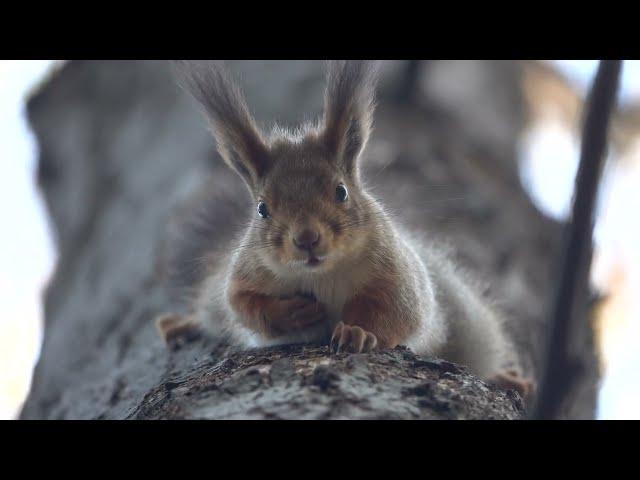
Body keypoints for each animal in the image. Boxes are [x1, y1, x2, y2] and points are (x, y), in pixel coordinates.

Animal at [159, 59, 536, 398]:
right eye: (262, 209)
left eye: (340, 191)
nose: (307, 238)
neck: (322, 274)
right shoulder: (248, 272)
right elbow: (243, 304)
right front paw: (291, 313)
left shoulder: (395, 272)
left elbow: (395, 310)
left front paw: (356, 332)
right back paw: (182, 323)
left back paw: (505, 378)